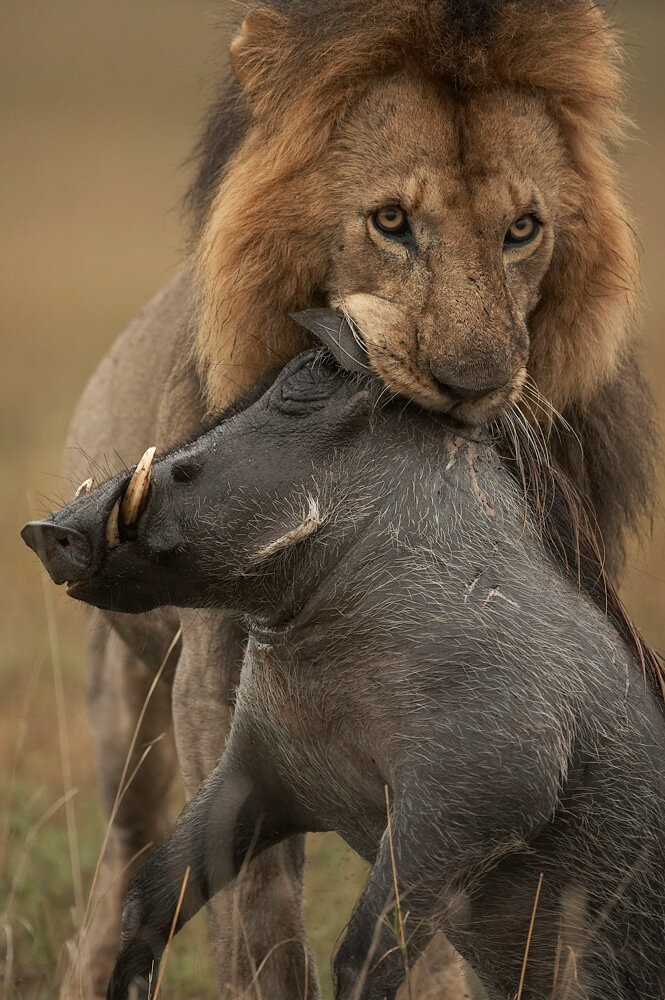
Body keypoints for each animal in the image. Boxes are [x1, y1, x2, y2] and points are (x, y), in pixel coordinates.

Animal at [61, 1, 652, 1000]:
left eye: (523, 228)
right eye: (390, 221)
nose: (474, 384)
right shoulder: (223, 697)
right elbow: (257, 931)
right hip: (126, 709)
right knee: (120, 856)